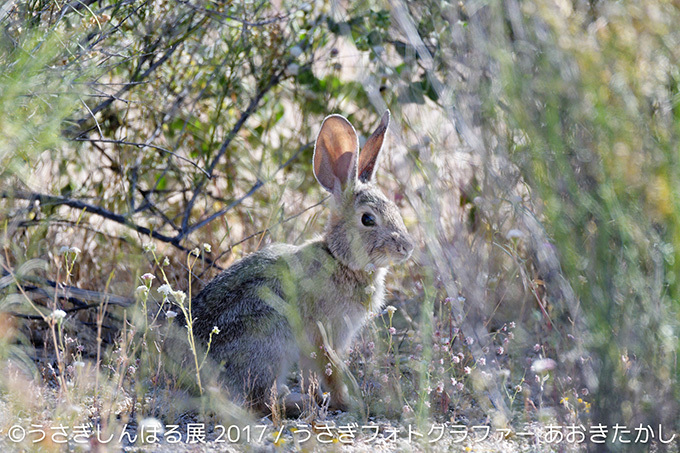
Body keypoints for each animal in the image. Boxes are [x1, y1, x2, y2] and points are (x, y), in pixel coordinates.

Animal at [187, 110, 414, 414]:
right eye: (368, 219)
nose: (407, 247)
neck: (339, 259)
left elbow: (312, 374)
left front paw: (324, 399)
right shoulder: (325, 335)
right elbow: (331, 370)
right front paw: (346, 402)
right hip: (271, 341)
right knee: (258, 401)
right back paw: (297, 403)